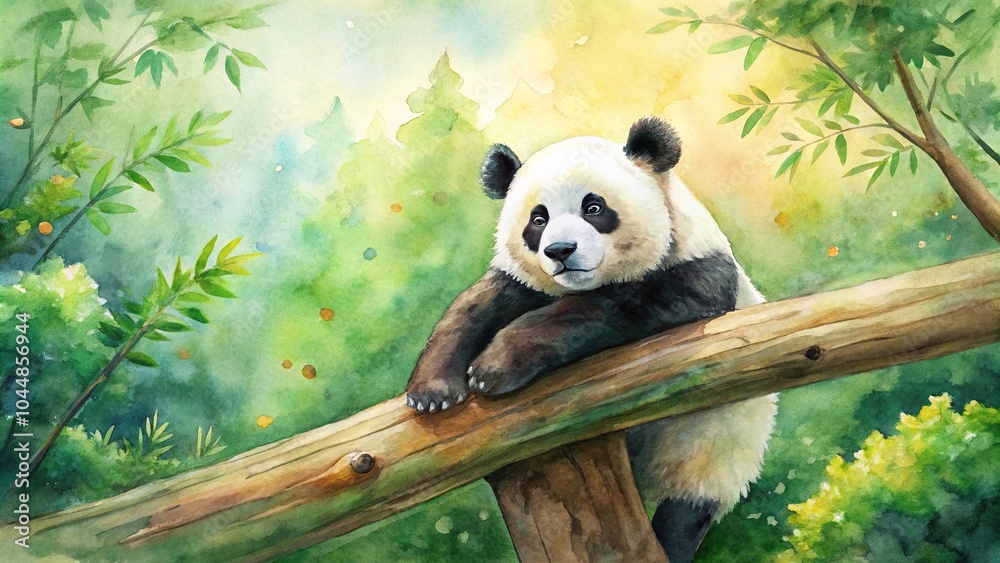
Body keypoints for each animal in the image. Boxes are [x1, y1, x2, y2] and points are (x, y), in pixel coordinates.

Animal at [405, 116, 777, 562]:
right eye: (538, 219)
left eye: (593, 207)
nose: (560, 251)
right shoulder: (527, 282)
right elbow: (475, 305)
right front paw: (433, 392)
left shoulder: (701, 268)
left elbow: (614, 305)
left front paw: (494, 367)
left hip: (714, 440)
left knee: (690, 504)